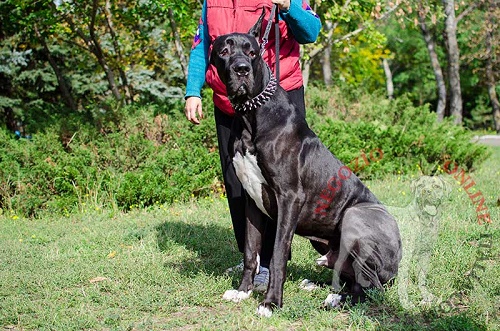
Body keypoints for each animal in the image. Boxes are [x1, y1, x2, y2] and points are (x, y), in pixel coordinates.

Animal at [213, 11, 404, 318]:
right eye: (224, 51)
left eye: (252, 53)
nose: (241, 69)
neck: (251, 115)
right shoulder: (252, 201)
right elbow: (251, 250)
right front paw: (243, 292)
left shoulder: (290, 198)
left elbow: (278, 253)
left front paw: (270, 302)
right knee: (349, 276)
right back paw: (320, 287)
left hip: (356, 216)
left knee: (372, 286)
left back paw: (337, 300)